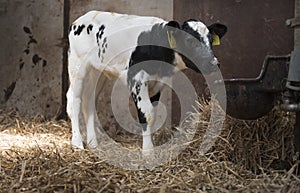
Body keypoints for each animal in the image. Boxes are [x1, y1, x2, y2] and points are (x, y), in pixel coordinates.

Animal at [67, 10, 227, 155]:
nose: (214, 63)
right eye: (189, 40)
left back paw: (93, 143)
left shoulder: (157, 83)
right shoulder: (136, 79)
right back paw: (77, 144)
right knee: (74, 100)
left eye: (210, 40)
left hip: (97, 72)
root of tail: (81, 19)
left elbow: (153, 115)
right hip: (77, 66)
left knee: (89, 100)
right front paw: (148, 151)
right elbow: (146, 114)